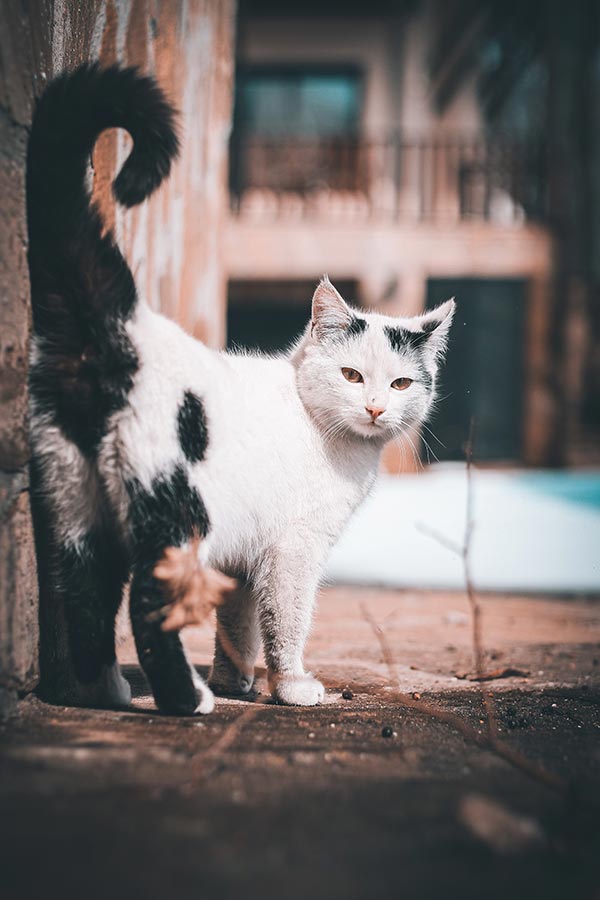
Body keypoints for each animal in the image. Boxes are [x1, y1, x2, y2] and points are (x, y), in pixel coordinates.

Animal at [25, 65, 452, 716]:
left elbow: (238, 621)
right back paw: (185, 700)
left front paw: (235, 679)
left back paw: (103, 692)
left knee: (86, 595)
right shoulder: (293, 548)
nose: (377, 406)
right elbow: (287, 620)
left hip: (75, 502)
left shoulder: (243, 554)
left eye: (402, 382)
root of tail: (127, 328)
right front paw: (291, 685)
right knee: (146, 604)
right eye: (352, 376)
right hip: (172, 509)